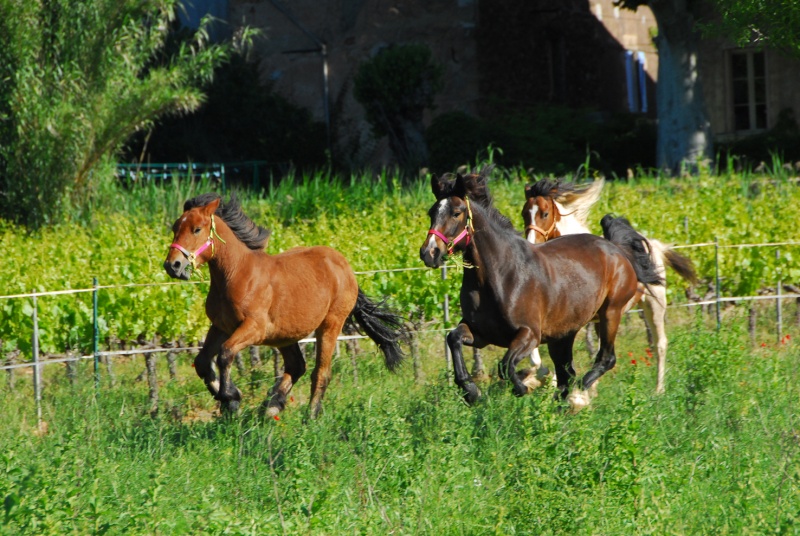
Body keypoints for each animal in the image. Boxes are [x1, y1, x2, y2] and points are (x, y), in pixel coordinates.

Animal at [163, 193, 406, 418]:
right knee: (297, 366)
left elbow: (225, 353)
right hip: (285, 334)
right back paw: (272, 404)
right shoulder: (221, 327)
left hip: (330, 324)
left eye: (196, 229)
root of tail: (345, 266)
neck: (236, 274)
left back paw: (310, 416)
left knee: (321, 372)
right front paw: (229, 399)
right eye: (175, 227)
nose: (173, 265)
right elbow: (203, 362)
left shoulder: (254, 328)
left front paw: (230, 396)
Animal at [418, 170, 664, 408]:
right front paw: (471, 392)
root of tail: (616, 249)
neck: (498, 277)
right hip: (563, 335)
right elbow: (454, 338)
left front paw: (524, 387)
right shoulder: (481, 333)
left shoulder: (529, 334)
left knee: (605, 359)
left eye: (456, 213)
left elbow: (506, 366)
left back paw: (578, 397)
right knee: (567, 373)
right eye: (431, 213)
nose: (429, 253)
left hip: (610, 313)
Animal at [520, 178, 696, 392]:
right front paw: (543, 377)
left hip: (654, 303)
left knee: (660, 344)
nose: (531, 243)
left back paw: (658, 389)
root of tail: (654, 245)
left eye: (544, 214)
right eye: (524, 213)